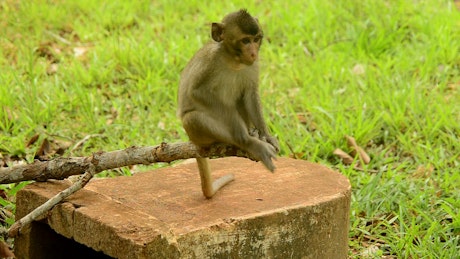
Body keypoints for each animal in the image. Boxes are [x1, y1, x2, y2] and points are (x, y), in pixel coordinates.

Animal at [177, 8, 278, 199]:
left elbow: (250, 94)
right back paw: (248, 142)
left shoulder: (253, 65)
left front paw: (265, 134)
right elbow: (198, 92)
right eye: (245, 40)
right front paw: (243, 136)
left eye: (256, 39)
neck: (233, 61)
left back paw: (253, 133)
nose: (253, 53)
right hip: (197, 135)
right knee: (193, 118)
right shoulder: (209, 64)